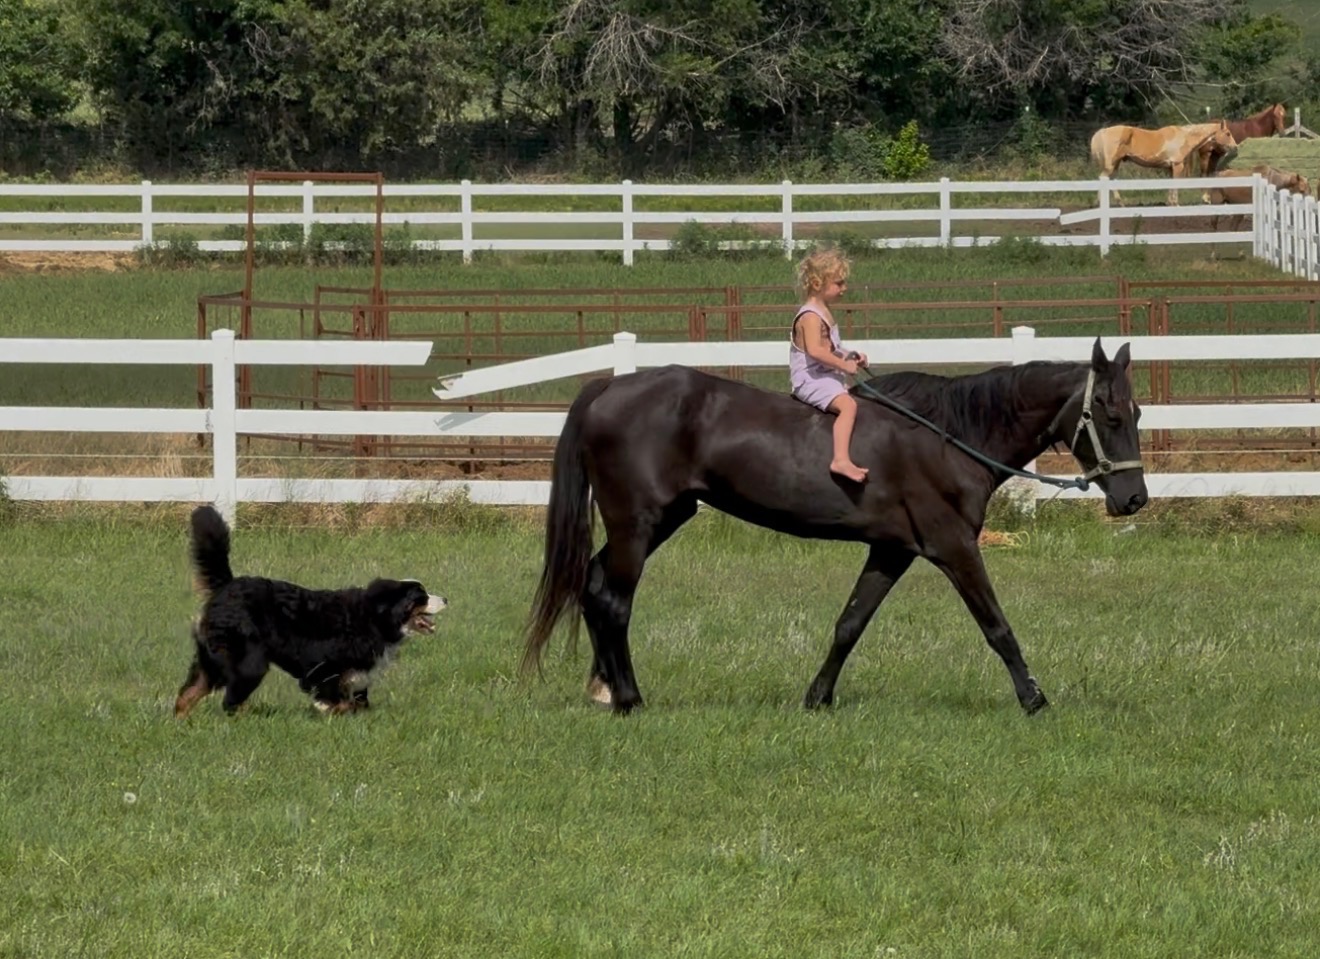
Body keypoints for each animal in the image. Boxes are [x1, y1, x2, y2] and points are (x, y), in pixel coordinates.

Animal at [523, 339, 1148, 716]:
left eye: (1138, 413)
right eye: (1111, 413)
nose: (1134, 498)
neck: (951, 436)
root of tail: (607, 388)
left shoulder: (891, 551)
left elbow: (849, 625)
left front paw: (818, 697)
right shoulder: (953, 547)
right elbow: (997, 626)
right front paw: (1033, 698)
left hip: (661, 520)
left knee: (593, 585)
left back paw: (605, 688)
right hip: (638, 523)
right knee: (614, 601)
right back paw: (628, 696)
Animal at [1089, 120, 1237, 205]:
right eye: (1228, 133)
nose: (1235, 147)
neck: (1185, 137)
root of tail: (1101, 132)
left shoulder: (1169, 168)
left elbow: (1170, 184)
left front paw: (1170, 202)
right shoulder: (1177, 165)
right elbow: (1175, 184)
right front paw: (1175, 203)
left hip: (1116, 164)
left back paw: (1120, 203)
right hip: (1110, 165)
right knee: (1103, 178)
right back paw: (1099, 203)